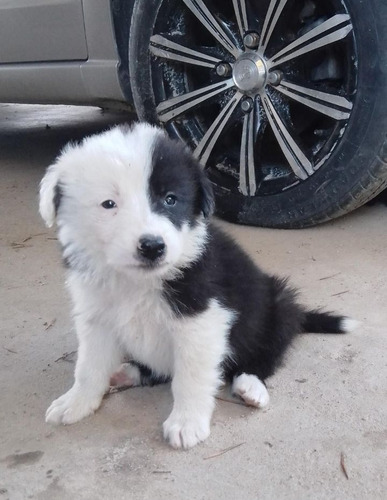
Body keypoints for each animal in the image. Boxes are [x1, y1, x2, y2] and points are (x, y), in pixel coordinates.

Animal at [38, 124, 354, 450]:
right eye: (108, 204)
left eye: (170, 199)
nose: (153, 247)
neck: (137, 282)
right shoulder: (96, 318)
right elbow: (88, 367)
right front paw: (75, 402)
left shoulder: (201, 321)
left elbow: (190, 377)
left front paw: (187, 423)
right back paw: (127, 373)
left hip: (277, 308)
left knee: (264, 356)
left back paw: (251, 386)